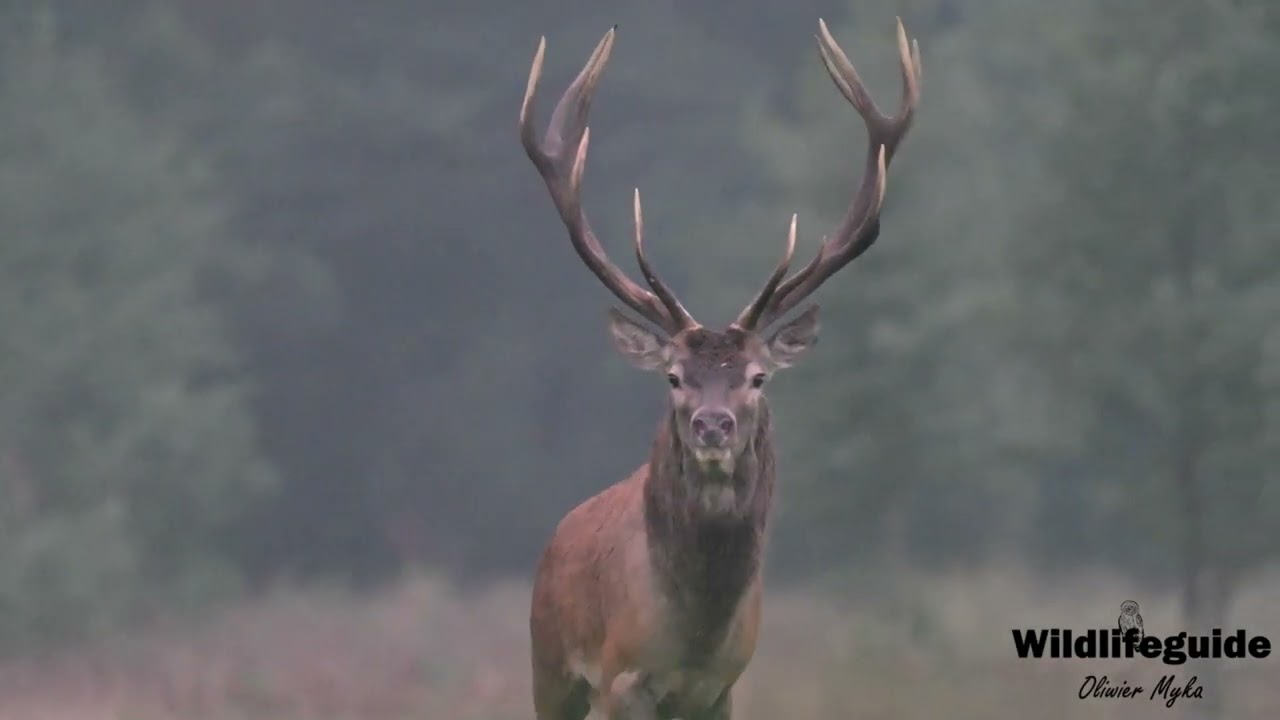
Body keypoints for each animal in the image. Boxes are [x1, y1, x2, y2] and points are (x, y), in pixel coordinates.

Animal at [519, 18, 921, 720]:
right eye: (673, 377)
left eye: (758, 377)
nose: (713, 425)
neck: (694, 637)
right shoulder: (618, 677)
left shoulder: (722, 686)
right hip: (550, 666)